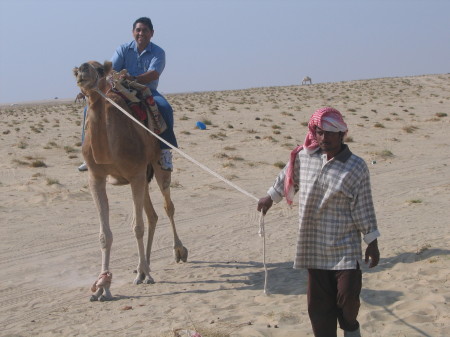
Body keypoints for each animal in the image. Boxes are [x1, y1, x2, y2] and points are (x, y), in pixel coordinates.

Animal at [72, 61, 188, 302]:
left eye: (100, 69)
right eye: (77, 69)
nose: (83, 71)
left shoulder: (135, 174)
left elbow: (137, 227)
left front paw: (144, 275)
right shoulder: (96, 178)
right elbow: (105, 235)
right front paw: (102, 286)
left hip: (156, 165)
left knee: (167, 206)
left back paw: (176, 252)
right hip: (143, 175)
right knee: (152, 215)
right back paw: (145, 264)